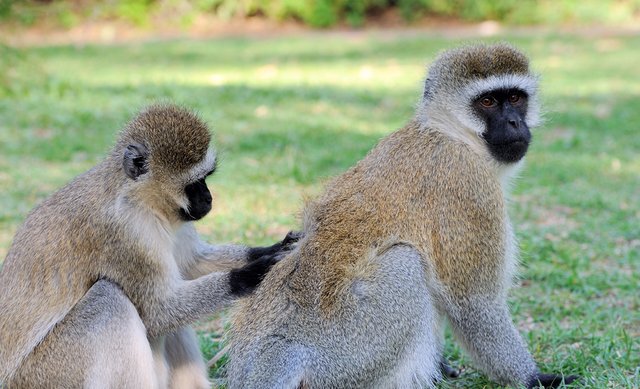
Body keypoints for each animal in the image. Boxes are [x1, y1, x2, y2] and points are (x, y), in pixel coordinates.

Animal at [0, 104, 296, 386]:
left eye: (206, 178)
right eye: (194, 184)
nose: (209, 198)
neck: (139, 199)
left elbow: (192, 263)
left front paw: (274, 249)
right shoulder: (126, 233)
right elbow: (158, 312)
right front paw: (251, 274)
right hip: (47, 374)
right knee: (109, 301)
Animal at [229, 44, 580, 386]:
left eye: (516, 98)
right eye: (488, 101)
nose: (514, 123)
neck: (450, 133)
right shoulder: (469, 186)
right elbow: (475, 303)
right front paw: (535, 378)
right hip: (345, 356)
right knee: (406, 262)